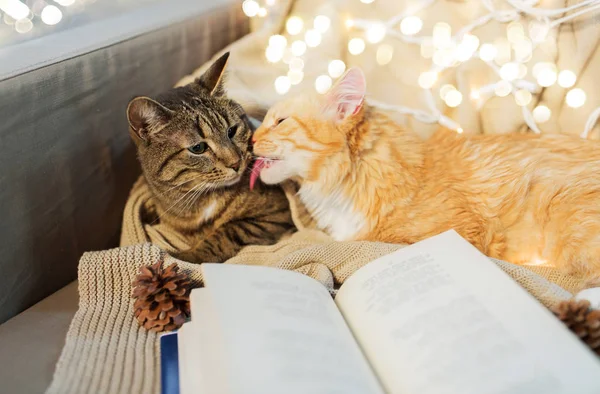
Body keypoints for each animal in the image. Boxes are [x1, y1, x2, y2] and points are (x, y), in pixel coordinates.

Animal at [126, 51, 292, 262]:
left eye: (232, 131)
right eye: (198, 148)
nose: (236, 163)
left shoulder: (275, 213)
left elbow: (227, 232)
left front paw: (186, 257)